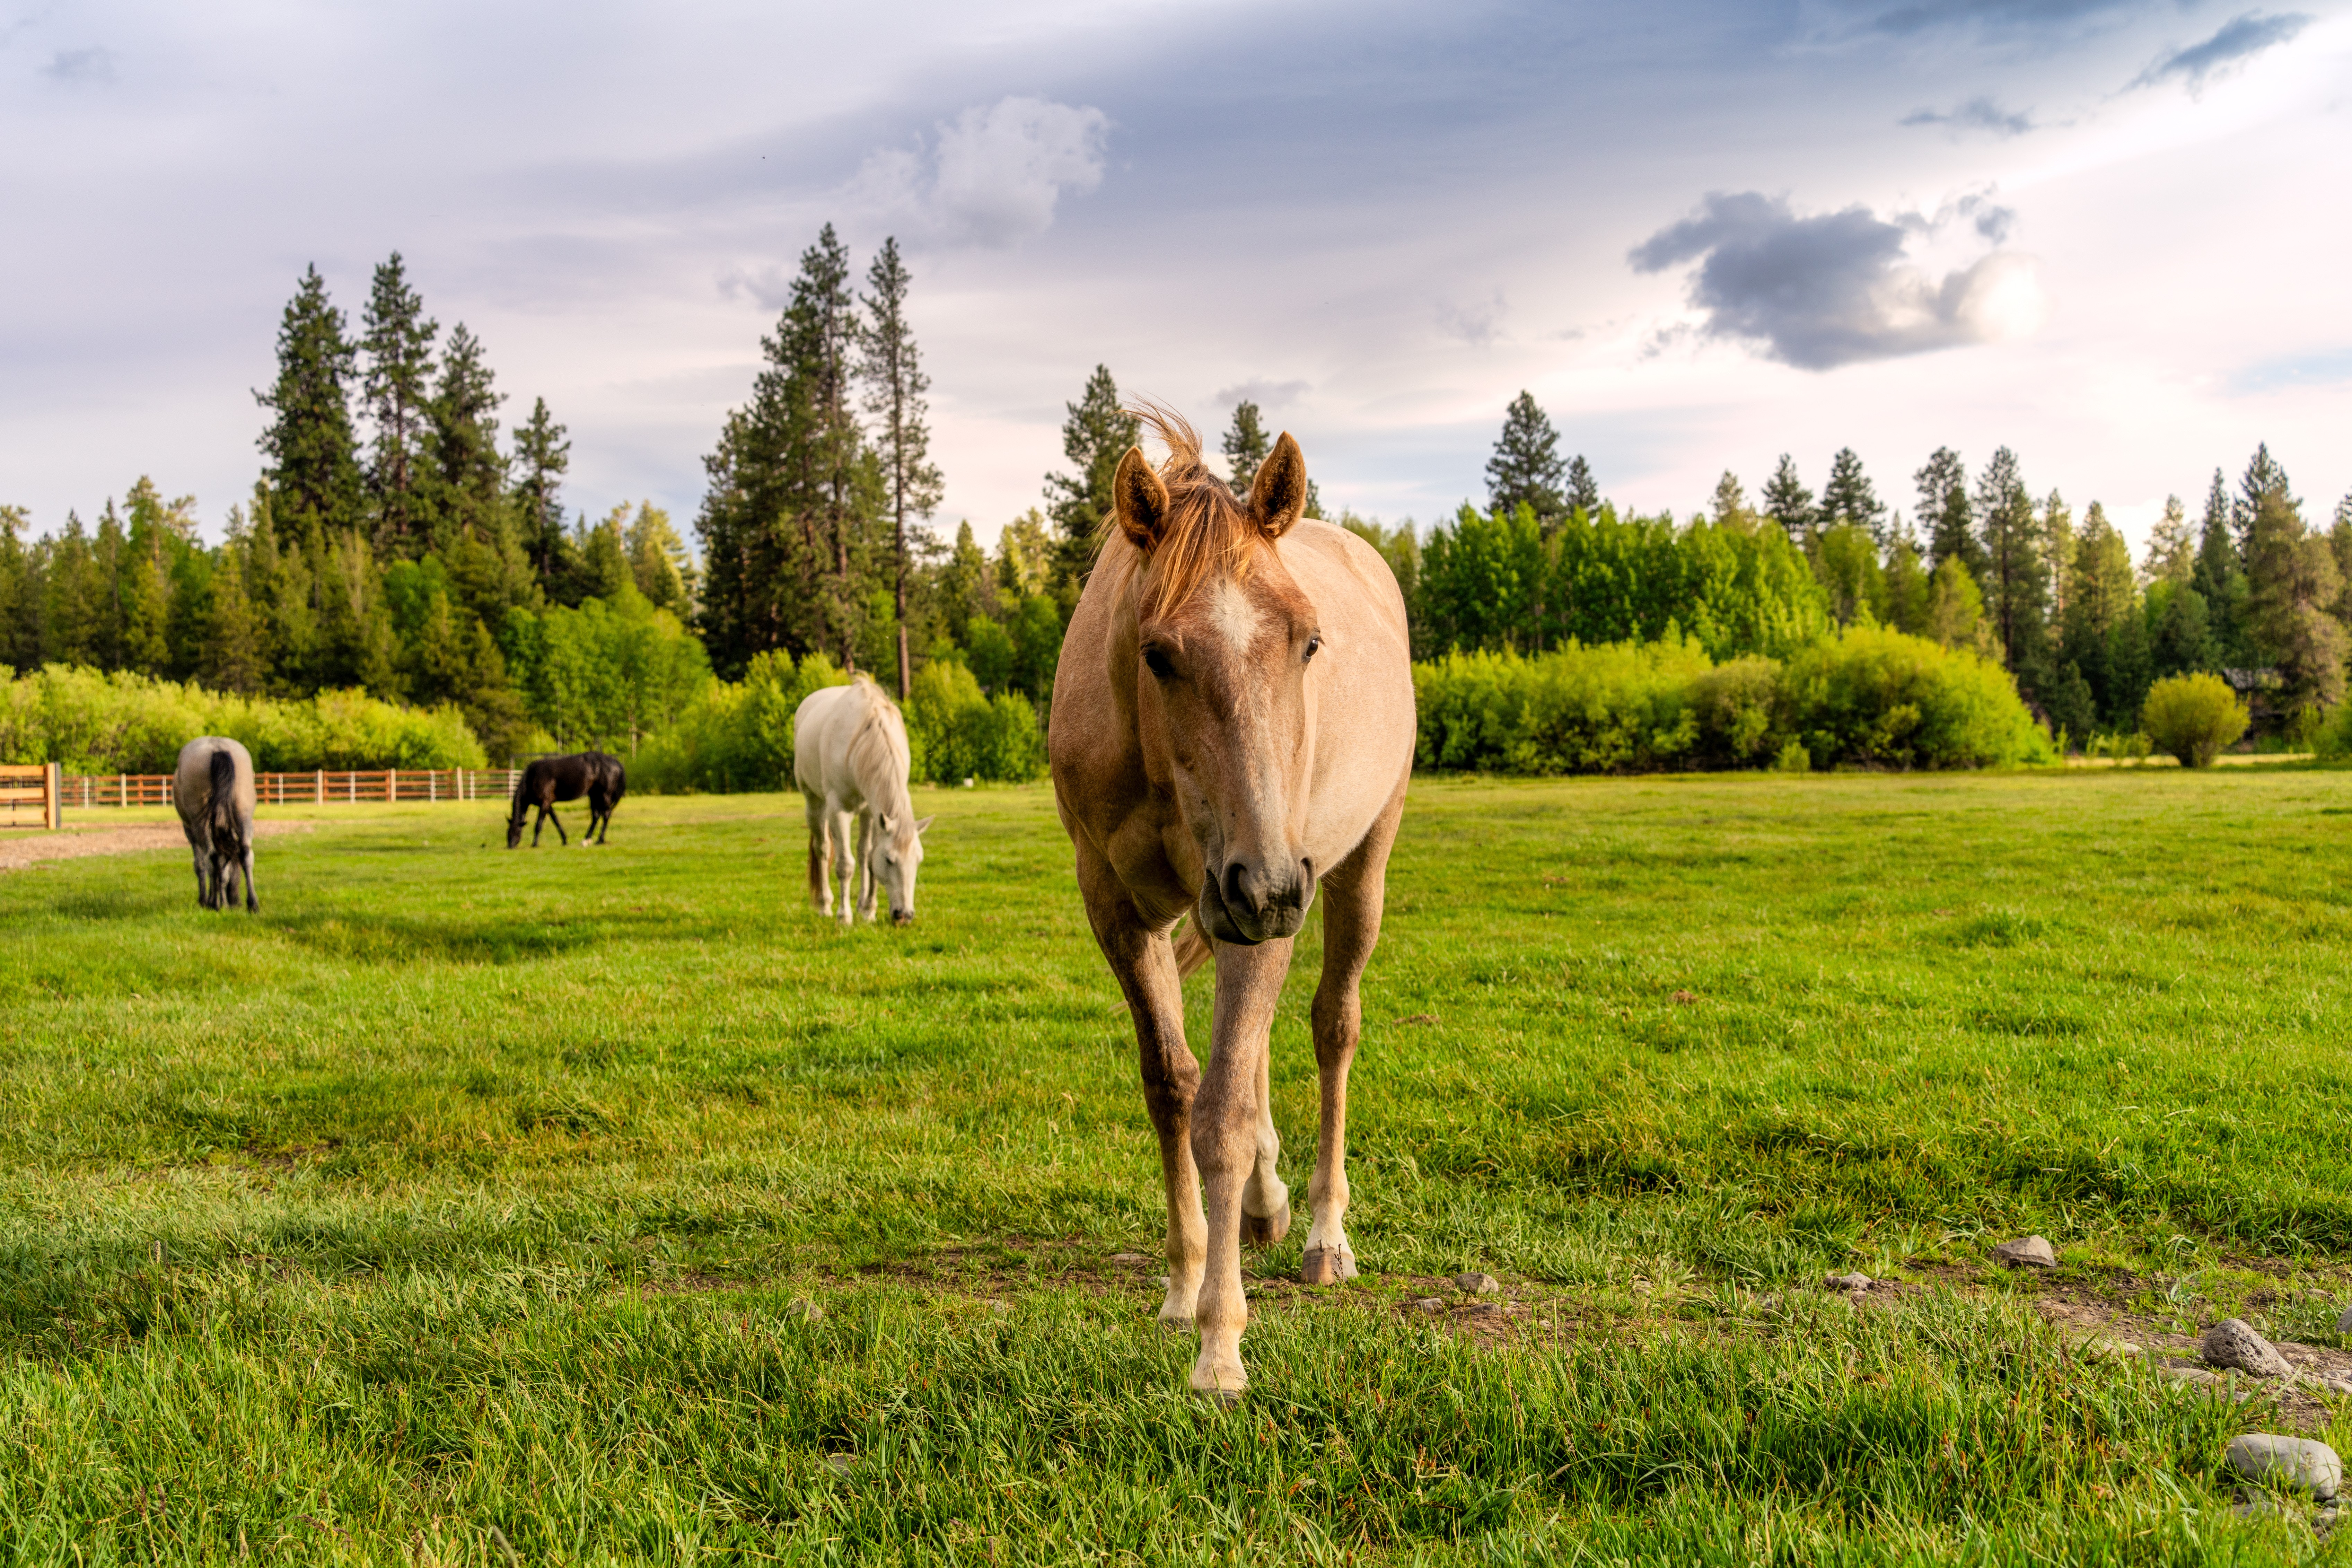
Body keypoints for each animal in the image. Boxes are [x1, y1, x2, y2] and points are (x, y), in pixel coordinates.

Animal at [174, 736, 260, 912]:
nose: (236, 901)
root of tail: (218, 748)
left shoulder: (190, 832)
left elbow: (201, 865)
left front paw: (206, 900)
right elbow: (225, 866)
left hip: (200, 825)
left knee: (211, 857)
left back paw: (214, 903)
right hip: (244, 817)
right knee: (246, 854)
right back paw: (252, 903)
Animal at [506, 751, 626, 848]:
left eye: (516, 832)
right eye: (508, 832)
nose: (510, 846)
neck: (532, 777)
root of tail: (615, 762)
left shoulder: (544, 804)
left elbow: (539, 825)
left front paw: (535, 844)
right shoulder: (548, 805)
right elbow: (557, 822)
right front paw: (565, 840)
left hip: (604, 795)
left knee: (606, 815)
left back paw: (600, 840)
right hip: (594, 796)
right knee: (596, 816)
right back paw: (586, 840)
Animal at [794, 675, 933, 925]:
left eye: (918, 860)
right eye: (889, 860)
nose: (904, 915)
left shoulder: (873, 810)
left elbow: (868, 858)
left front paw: (868, 911)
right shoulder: (838, 810)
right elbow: (844, 865)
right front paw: (844, 916)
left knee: (861, 851)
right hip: (815, 804)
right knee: (823, 849)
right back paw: (825, 906)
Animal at [1049, 407, 1415, 1405]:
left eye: (1308, 642)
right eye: (1158, 653)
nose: (1272, 885)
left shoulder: (1260, 905)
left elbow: (1222, 1114)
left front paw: (1219, 1344)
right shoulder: (1123, 910)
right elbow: (1174, 1087)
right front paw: (1184, 1284)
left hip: (1352, 869)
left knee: (1332, 1026)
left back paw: (1326, 1234)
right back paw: (1263, 1203)